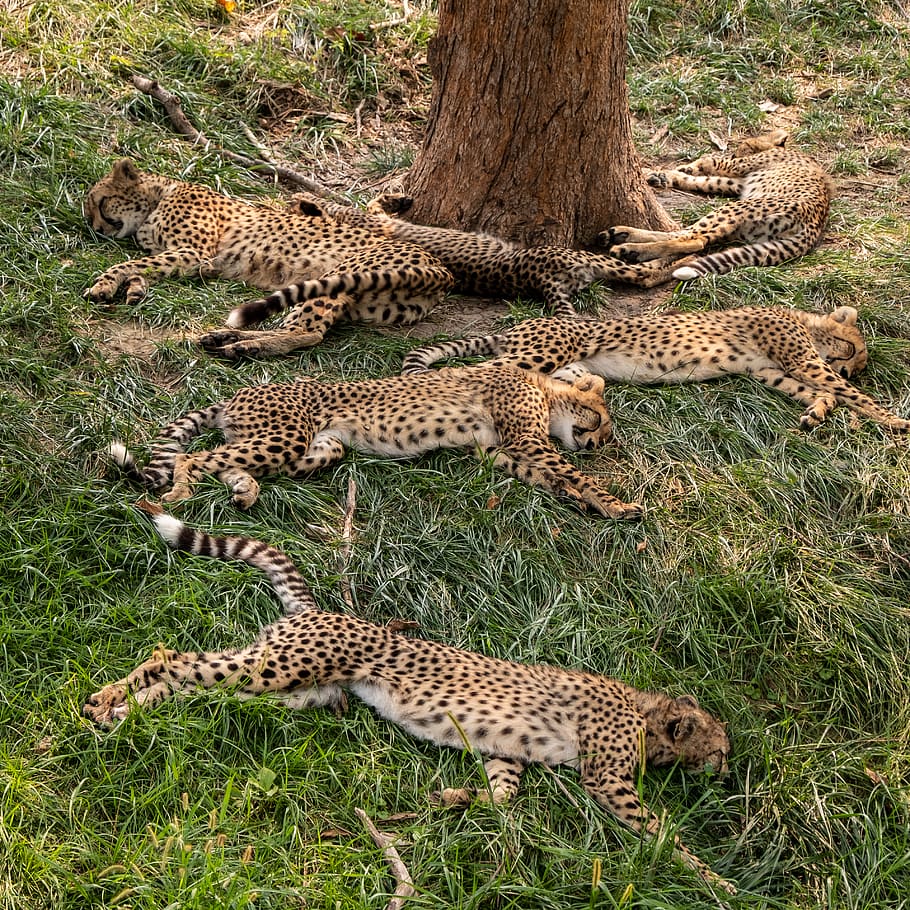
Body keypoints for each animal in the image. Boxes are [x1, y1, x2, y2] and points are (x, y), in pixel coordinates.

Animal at [83, 159, 453, 354]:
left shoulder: (195, 254)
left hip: (336, 278)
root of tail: (440, 269)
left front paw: (105, 284)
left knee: (307, 333)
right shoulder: (177, 255)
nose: (96, 228)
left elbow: (129, 263)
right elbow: (143, 267)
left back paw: (242, 346)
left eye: (100, 202)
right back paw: (226, 337)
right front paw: (135, 289)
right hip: (364, 303)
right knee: (301, 328)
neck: (158, 197)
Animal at [84, 507, 735, 894]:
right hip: (279, 668)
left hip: (293, 692)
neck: (646, 713)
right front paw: (715, 880)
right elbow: (662, 832)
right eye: (721, 749)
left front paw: (457, 800)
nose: (728, 772)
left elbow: (501, 797)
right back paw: (105, 702)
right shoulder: (606, 778)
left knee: (194, 686)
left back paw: (121, 711)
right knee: (172, 658)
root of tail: (329, 611)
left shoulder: (507, 752)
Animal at [107, 364, 643, 519]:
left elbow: (546, 476)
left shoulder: (496, 451)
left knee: (229, 460)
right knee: (197, 456)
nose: (594, 445)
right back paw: (180, 491)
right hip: (285, 434)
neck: (545, 389)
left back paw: (244, 489)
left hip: (317, 447)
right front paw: (616, 504)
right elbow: (569, 472)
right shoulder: (529, 440)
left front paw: (582, 501)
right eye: (599, 420)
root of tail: (241, 391)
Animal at [281, 191, 693, 316]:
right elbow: (359, 203)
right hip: (581, 258)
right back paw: (669, 256)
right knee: (648, 272)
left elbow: (369, 202)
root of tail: (539, 283)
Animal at [600, 130, 834, 280]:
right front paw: (663, 175)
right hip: (741, 229)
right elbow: (705, 179)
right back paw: (623, 237)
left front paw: (672, 170)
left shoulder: (738, 168)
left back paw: (630, 248)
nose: (734, 151)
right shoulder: (737, 182)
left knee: (694, 239)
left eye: (742, 145)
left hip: (734, 210)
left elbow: (709, 161)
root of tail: (814, 228)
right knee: (686, 235)